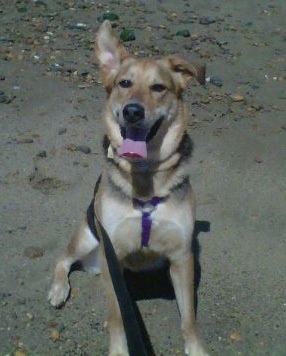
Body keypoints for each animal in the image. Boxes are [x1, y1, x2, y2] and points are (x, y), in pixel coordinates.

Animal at [48, 20, 207, 356]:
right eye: (124, 83)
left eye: (158, 87)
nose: (132, 111)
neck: (145, 178)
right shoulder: (113, 256)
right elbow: (117, 317)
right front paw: (120, 350)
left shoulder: (182, 256)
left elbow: (189, 318)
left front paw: (196, 348)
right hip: (87, 235)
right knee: (63, 259)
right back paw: (58, 289)